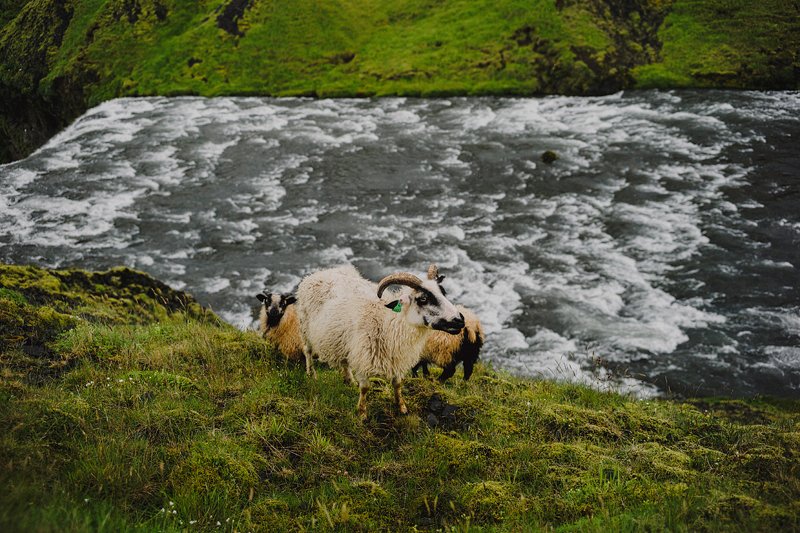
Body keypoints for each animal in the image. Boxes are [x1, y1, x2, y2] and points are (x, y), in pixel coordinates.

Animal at [296, 264, 466, 418]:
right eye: (423, 299)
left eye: (443, 292)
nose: (459, 320)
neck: (388, 322)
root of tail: (319, 273)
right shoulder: (364, 359)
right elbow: (365, 388)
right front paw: (362, 413)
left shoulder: (396, 360)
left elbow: (397, 384)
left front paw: (401, 407)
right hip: (305, 327)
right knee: (307, 350)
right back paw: (311, 374)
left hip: (343, 341)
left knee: (344, 361)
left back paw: (349, 379)